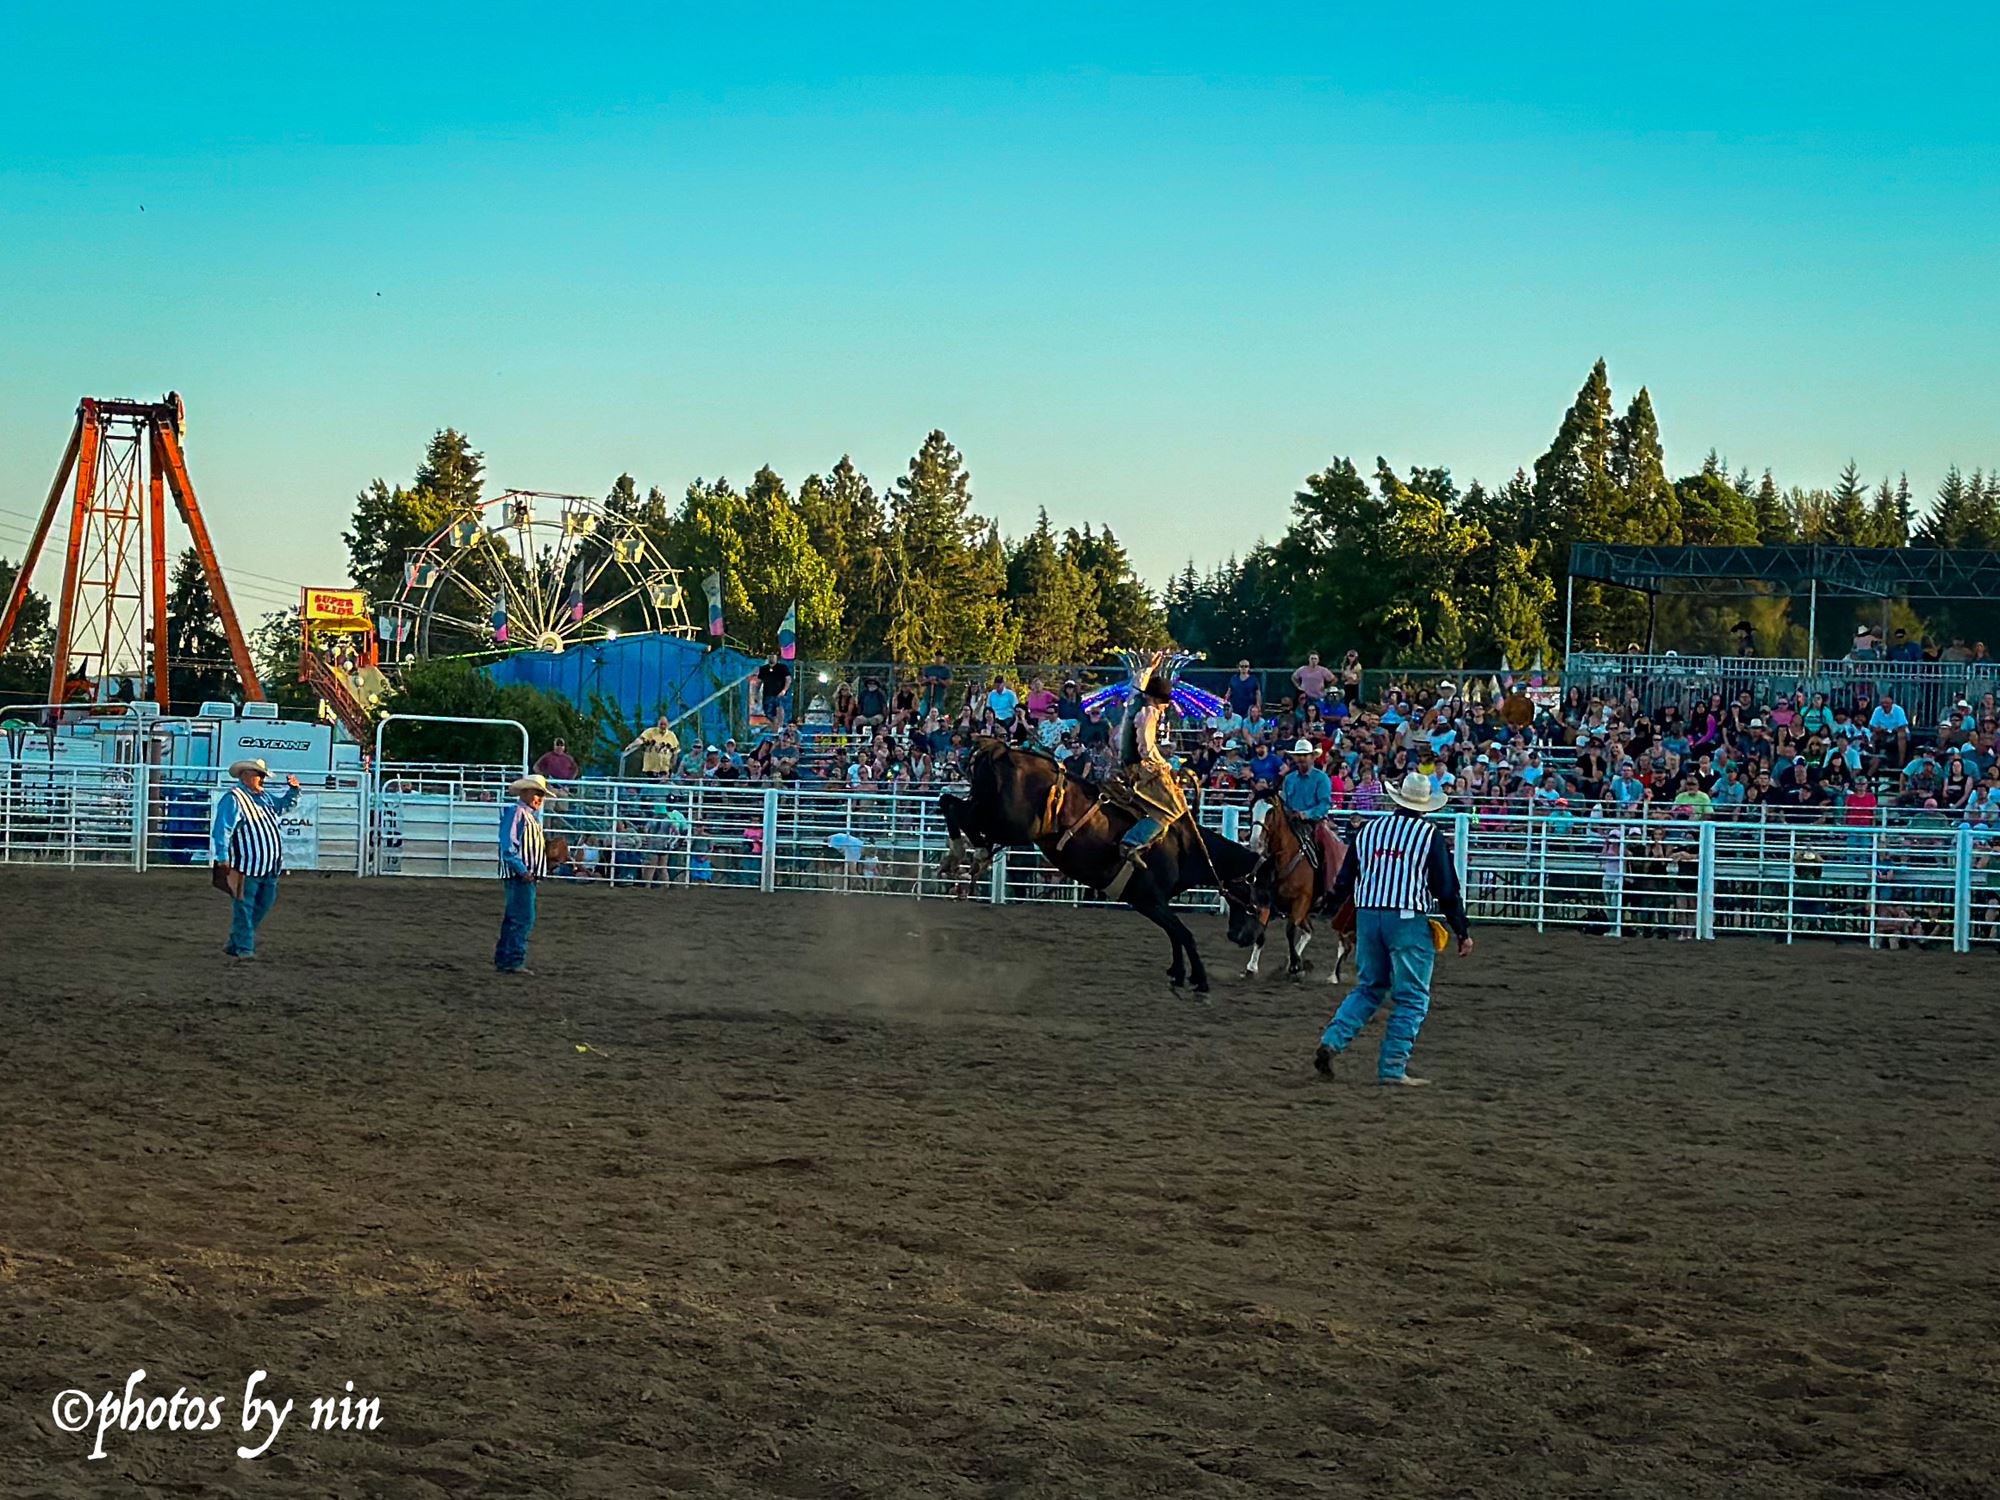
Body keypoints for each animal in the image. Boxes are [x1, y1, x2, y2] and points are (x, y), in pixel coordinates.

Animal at [944, 740, 1256, 1000]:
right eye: (1256, 888)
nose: (1243, 938)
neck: (1185, 846)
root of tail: (1001, 750)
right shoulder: (1150, 900)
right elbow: (1184, 934)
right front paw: (1200, 981)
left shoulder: (1149, 903)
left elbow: (1175, 934)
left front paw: (1178, 974)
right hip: (1009, 822)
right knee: (957, 811)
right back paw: (972, 854)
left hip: (991, 812)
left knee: (951, 804)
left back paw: (965, 856)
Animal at [1240, 812, 1352, 988]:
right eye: (1253, 809)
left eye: (1270, 812)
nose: (1255, 841)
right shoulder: (1265, 901)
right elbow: (1261, 932)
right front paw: (1251, 968)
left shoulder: (1300, 902)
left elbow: (1290, 930)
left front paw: (1295, 966)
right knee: (1310, 932)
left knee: (1344, 944)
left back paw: (1333, 976)